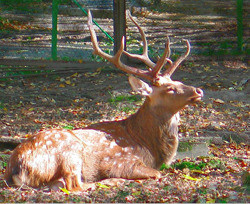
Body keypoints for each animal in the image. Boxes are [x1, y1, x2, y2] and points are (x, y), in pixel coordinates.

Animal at [3, 10, 203, 192]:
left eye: (179, 82)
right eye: (170, 89)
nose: (198, 90)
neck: (149, 146)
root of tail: (14, 170)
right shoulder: (122, 161)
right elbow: (157, 173)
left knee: (58, 184)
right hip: (69, 151)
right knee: (72, 184)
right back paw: (112, 181)